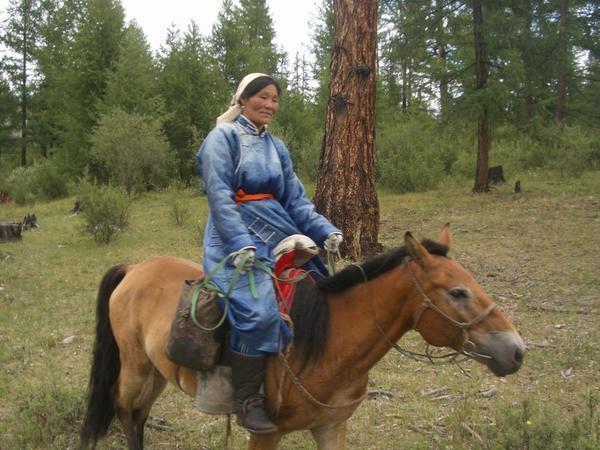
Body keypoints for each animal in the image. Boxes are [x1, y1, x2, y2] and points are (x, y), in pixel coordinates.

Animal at [77, 227, 524, 448]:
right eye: (457, 293)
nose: (516, 350)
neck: (328, 345)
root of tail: (134, 268)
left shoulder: (331, 428)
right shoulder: (266, 435)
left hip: (156, 371)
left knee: (138, 415)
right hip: (135, 366)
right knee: (124, 409)